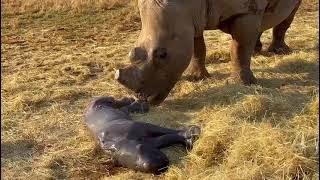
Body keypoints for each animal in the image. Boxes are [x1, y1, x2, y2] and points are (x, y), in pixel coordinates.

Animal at [115, 0, 302, 105]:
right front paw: (197, 78)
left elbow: (239, 48)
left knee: (289, 13)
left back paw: (280, 52)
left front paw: (240, 84)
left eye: (162, 55)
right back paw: (256, 51)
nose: (143, 99)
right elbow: (198, 48)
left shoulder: (245, 11)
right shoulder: (192, 19)